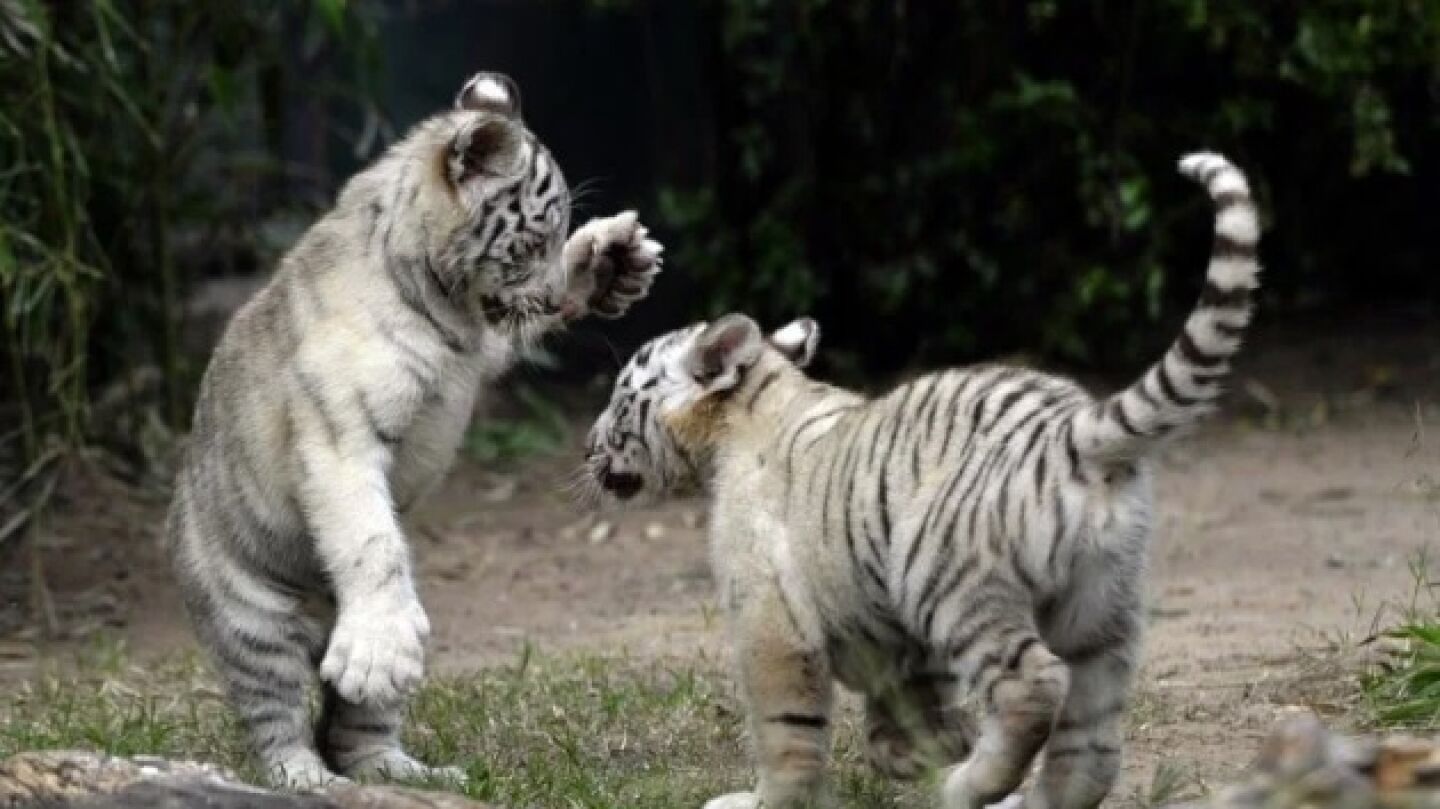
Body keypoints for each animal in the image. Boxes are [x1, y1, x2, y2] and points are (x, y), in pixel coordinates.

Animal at [164, 71, 662, 789]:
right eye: (531, 240)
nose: (545, 295)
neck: (443, 300)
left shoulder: (485, 343)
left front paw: (610, 261)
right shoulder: (341, 438)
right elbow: (371, 541)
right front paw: (377, 647)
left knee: (357, 729)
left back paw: (406, 771)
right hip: (253, 622)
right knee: (277, 716)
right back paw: (308, 774)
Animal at [581, 152, 1260, 809]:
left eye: (618, 398)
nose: (587, 446)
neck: (750, 409)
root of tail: (1073, 429)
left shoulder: (770, 616)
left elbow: (784, 726)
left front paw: (772, 799)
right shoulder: (887, 633)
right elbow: (906, 703)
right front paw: (919, 753)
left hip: (947, 578)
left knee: (1034, 684)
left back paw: (972, 788)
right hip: (1099, 605)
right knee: (1090, 738)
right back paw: (1024, 797)